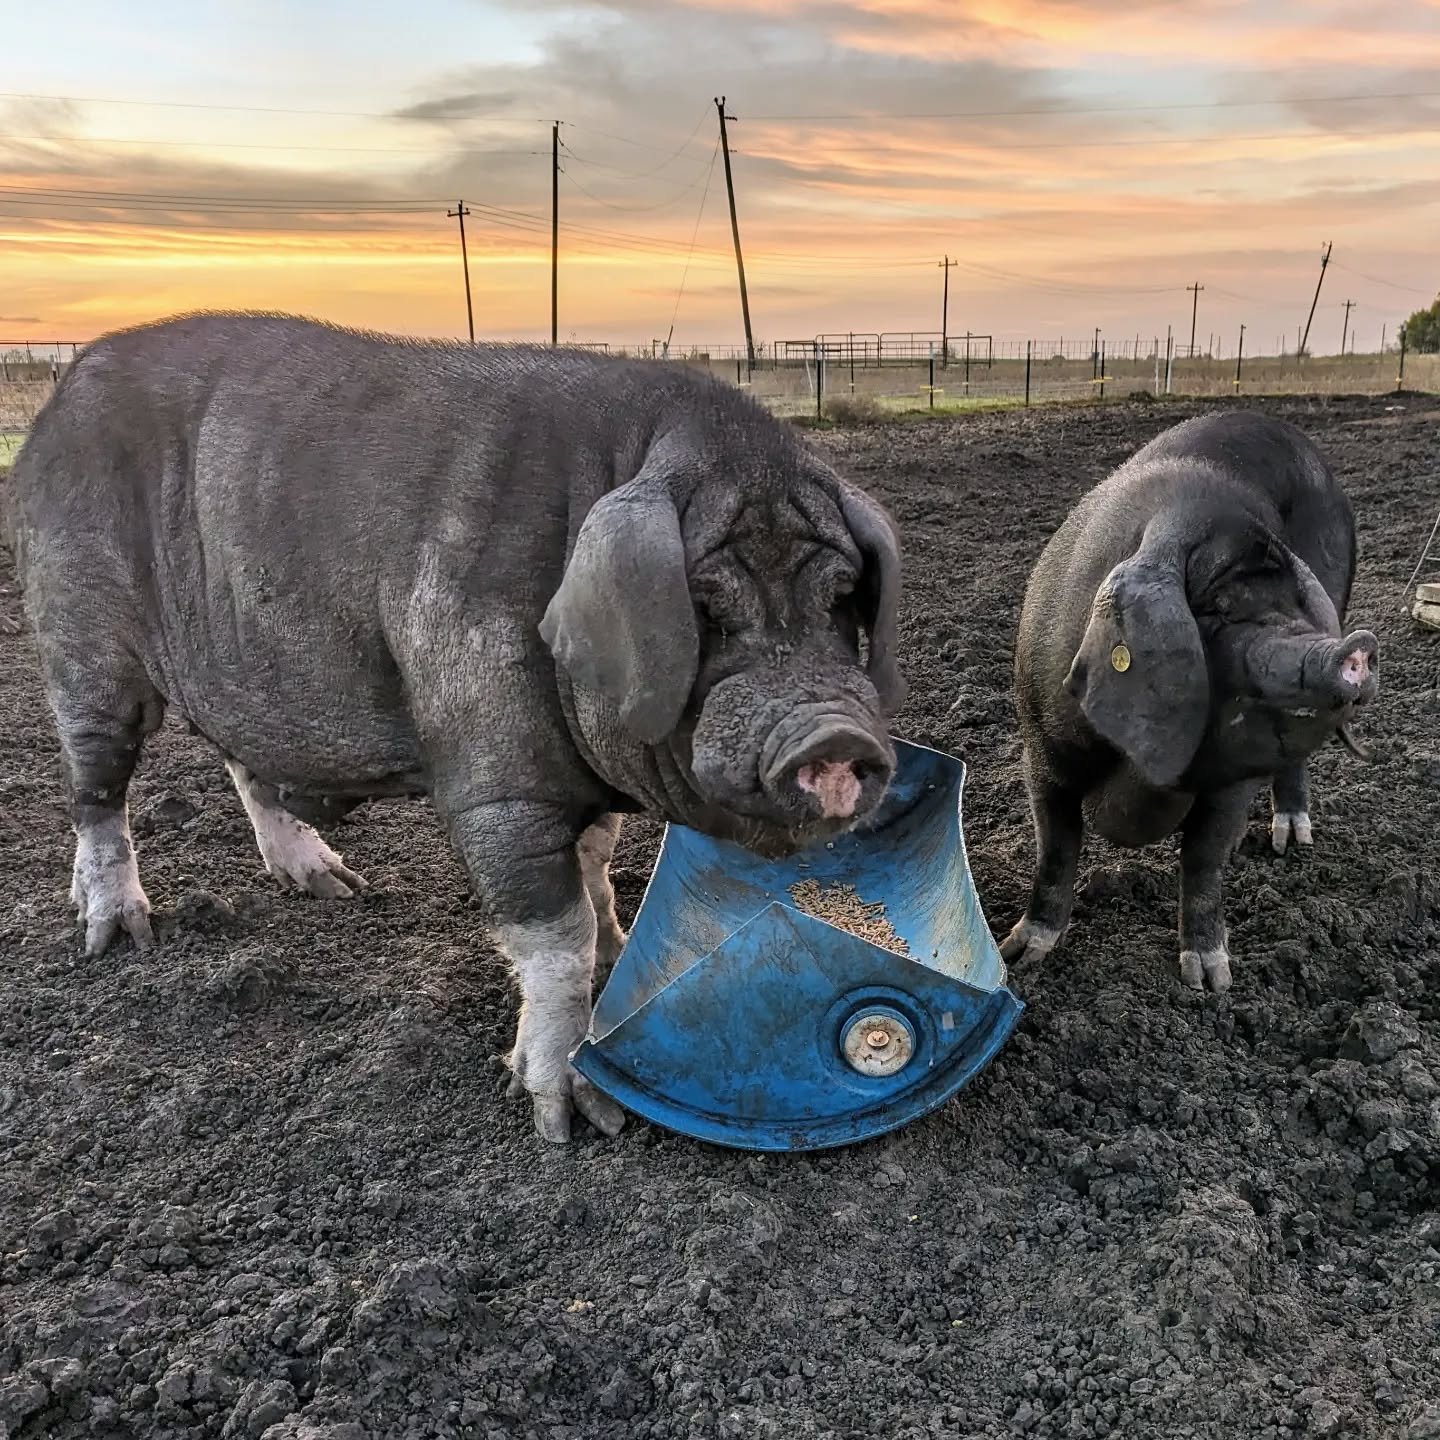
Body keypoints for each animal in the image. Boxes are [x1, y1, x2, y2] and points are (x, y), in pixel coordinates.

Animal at [11, 311, 906, 1141]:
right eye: (705, 609)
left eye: (842, 599)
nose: (834, 737)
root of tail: (61, 396)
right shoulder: (497, 782)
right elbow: (553, 935)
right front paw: (572, 1120)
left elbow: (596, 865)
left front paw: (619, 954)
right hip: (80, 633)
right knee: (96, 786)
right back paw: (118, 934)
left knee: (242, 763)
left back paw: (333, 885)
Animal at [1001, 410, 1377, 993]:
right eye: (1219, 606)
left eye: (1295, 605)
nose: (1355, 646)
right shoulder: (1043, 750)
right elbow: (1056, 849)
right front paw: (1019, 957)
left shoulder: (1231, 785)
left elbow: (1203, 861)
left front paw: (1211, 982)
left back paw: (1290, 842)